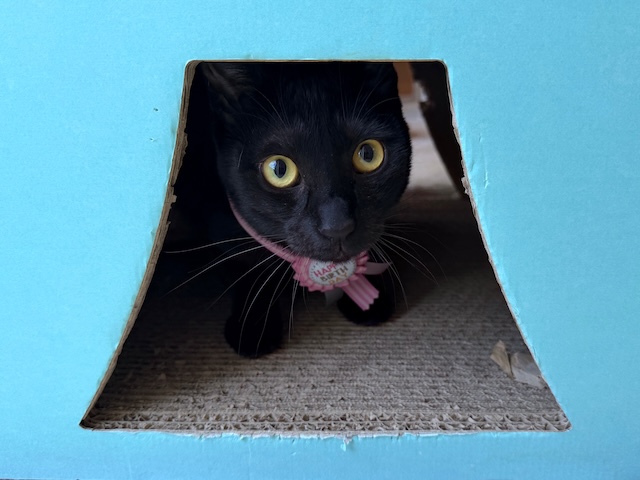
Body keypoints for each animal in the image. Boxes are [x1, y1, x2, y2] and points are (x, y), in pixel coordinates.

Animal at [167, 62, 412, 357]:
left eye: (368, 154)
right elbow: (245, 268)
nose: (337, 225)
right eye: (279, 169)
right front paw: (253, 326)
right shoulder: (219, 229)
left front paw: (370, 297)